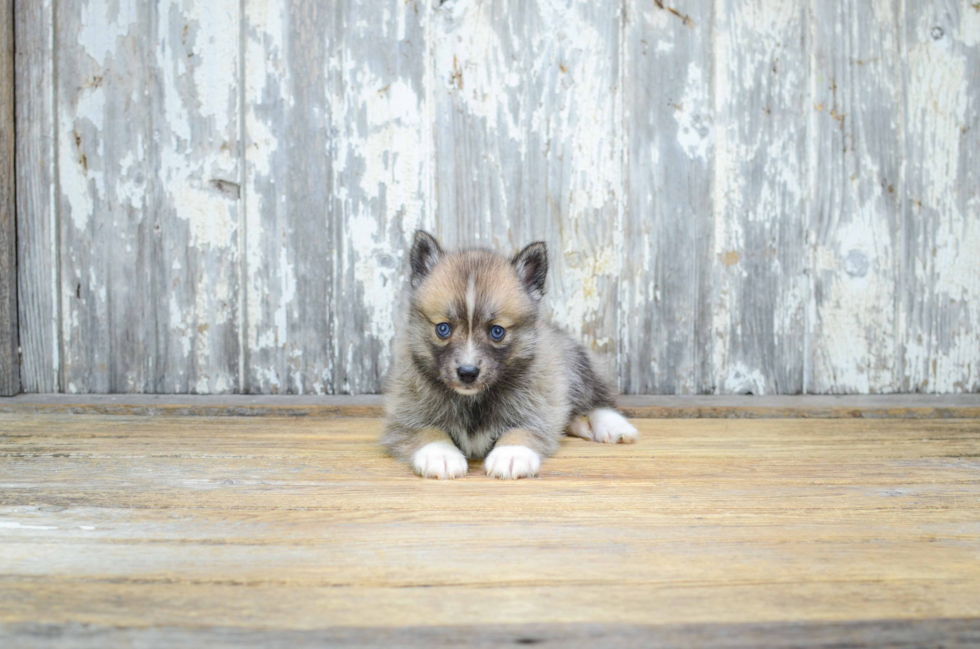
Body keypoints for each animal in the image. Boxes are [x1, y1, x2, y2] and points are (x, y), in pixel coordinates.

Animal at [378, 230, 640, 478]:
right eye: (443, 328)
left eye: (497, 331)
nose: (467, 373)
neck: (472, 400)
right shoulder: (404, 416)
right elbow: (427, 430)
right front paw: (441, 455)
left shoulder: (537, 407)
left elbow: (522, 429)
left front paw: (511, 454)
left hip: (576, 364)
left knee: (597, 400)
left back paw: (613, 426)